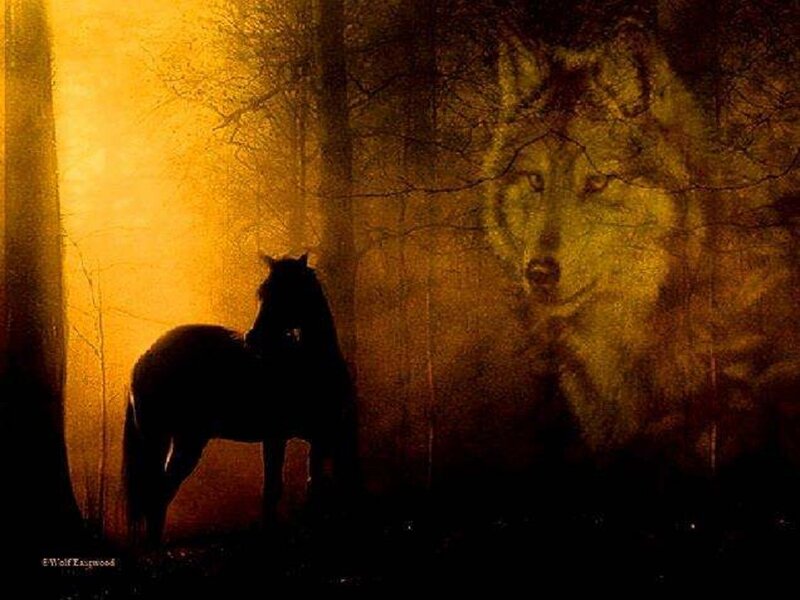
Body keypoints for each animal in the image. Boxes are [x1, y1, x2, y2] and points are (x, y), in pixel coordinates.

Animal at [122, 254, 359, 546]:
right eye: (263, 292)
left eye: (289, 290)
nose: (253, 338)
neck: (310, 365)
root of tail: (145, 357)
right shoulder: (276, 436)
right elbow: (273, 489)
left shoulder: (321, 437)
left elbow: (314, 485)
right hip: (176, 439)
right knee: (159, 491)